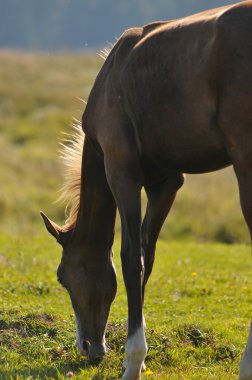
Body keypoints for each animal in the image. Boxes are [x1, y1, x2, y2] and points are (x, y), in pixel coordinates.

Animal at [40, 1, 252, 378]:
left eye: (62, 277)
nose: (89, 347)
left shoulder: (122, 173)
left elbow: (130, 259)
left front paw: (134, 360)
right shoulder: (165, 184)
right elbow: (147, 257)